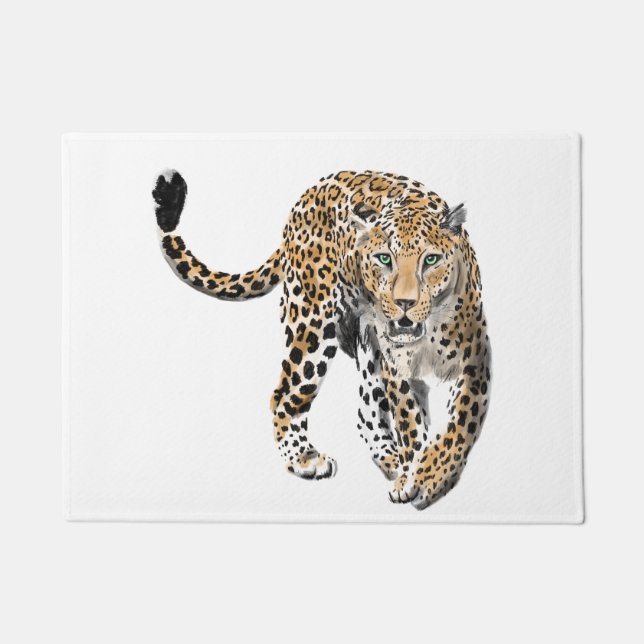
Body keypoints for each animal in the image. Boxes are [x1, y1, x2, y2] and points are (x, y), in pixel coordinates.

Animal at [152, 169, 491, 510]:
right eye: (384, 259)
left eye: (431, 260)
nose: (404, 303)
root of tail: (307, 196)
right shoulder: (397, 370)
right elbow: (411, 423)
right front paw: (416, 476)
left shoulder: (475, 361)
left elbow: (460, 425)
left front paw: (427, 475)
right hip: (312, 324)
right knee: (283, 395)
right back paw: (305, 459)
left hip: (364, 346)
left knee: (365, 411)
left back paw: (391, 460)